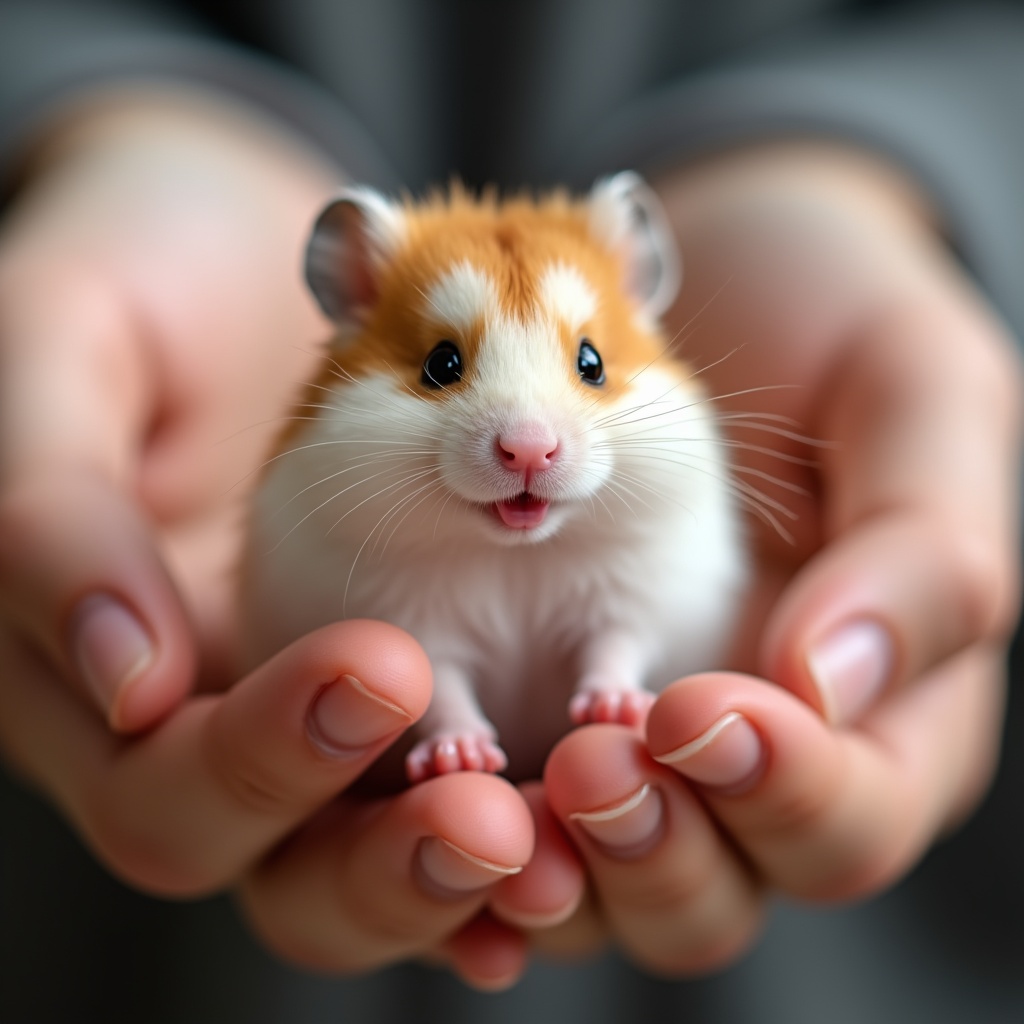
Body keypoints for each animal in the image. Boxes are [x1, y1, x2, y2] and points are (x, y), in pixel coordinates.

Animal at [239, 173, 747, 783]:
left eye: (593, 363)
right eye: (440, 365)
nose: (528, 451)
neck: (515, 553)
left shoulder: (633, 595)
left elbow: (615, 646)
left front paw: (615, 709)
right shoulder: (407, 615)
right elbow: (441, 686)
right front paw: (463, 758)